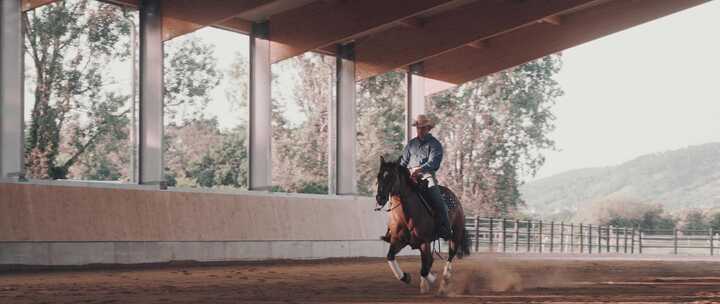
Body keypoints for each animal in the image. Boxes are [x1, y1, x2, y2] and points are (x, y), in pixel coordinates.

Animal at [374, 156, 470, 294]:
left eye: (392, 176)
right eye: (379, 176)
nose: (379, 198)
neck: (407, 215)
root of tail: (455, 198)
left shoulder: (424, 242)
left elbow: (424, 268)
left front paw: (431, 280)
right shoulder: (398, 240)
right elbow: (390, 256)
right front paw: (406, 277)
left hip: (455, 236)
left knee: (449, 256)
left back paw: (443, 284)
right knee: (429, 260)